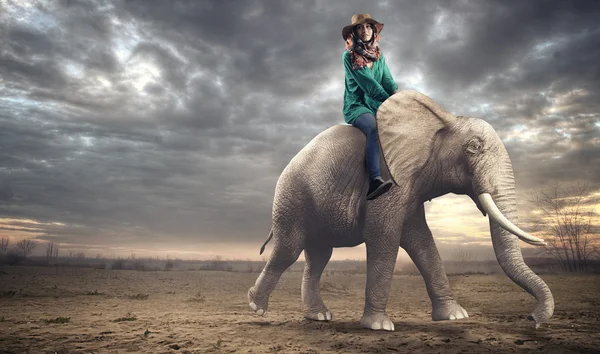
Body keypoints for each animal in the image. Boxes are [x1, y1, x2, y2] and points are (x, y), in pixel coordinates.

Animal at [246, 89, 556, 332]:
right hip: (291, 198)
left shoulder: (412, 188)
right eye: (473, 148)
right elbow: (384, 237)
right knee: (289, 250)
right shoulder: (387, 180)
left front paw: (455, 316)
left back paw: (319, 316)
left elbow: (422, 241)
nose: (533, 320)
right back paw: (256, 306)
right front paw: (379, 326)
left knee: (319, 256)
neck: (442, 119)